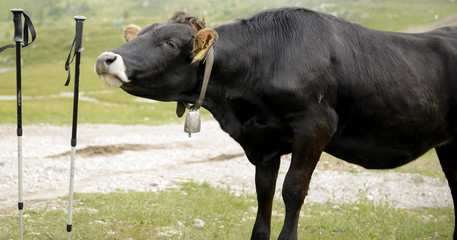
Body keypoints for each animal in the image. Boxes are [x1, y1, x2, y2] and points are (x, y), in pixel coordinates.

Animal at [94, 7, 454, 238]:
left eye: (169, 43)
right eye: (135, 37)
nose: (105, 59)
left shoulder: (316, 126)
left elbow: (293, 189)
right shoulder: (263, 142)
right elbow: (263, 191)